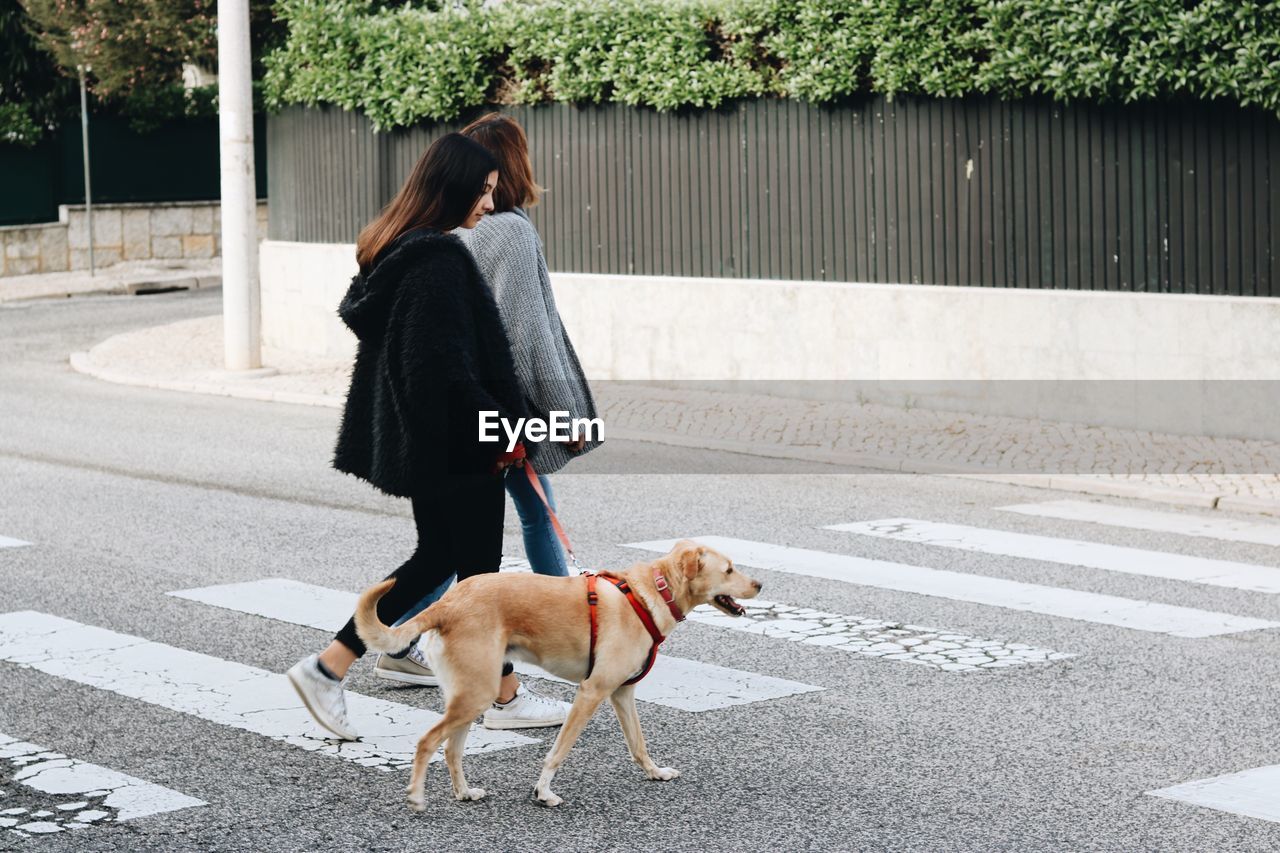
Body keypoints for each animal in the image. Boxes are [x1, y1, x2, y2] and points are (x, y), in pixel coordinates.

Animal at [353, 540, 757, 809]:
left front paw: (654, 772)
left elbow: (638, 744)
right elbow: (558, 751)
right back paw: (417, 797)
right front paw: (543, 792)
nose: (760, 586)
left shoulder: (621, 694)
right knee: (427, 742)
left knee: (451, 750)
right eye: (729, 569)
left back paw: (464, 792)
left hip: (469, 695)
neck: (649, 594)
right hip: (476, 694)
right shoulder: (591, 692)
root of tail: (448, 602)